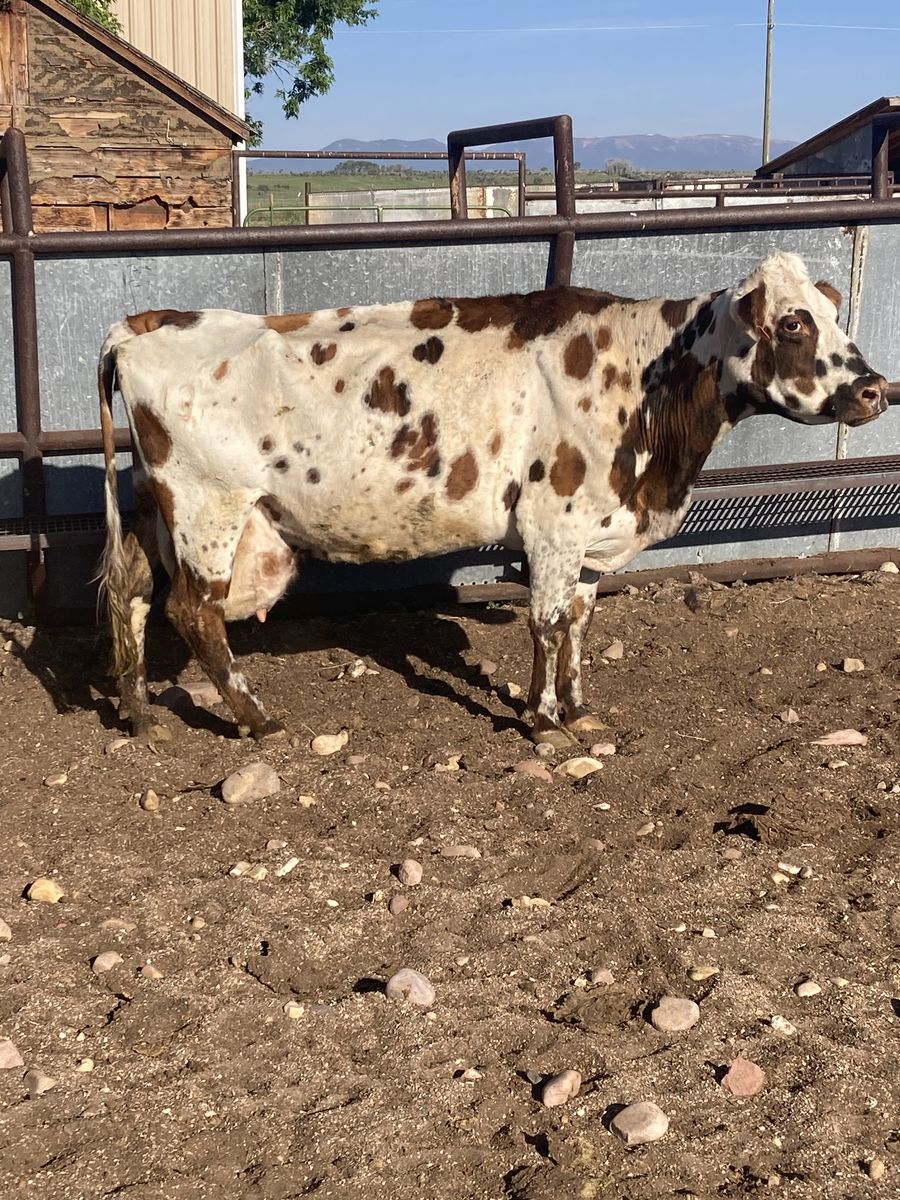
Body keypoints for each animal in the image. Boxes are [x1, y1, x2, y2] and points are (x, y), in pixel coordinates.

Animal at [98, 252, 887, 748]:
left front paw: (576, 704)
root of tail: (141, 324)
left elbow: (578, 620)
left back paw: (138, 711)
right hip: (209, 507)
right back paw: (256, 717)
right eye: (793, 321)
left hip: (154, 506)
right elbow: (546, 622)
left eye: (832, 314)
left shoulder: (591, 535)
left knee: (130, 592)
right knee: (193, 612)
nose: (875, 387)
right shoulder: (553, 525)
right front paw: (542, 719)